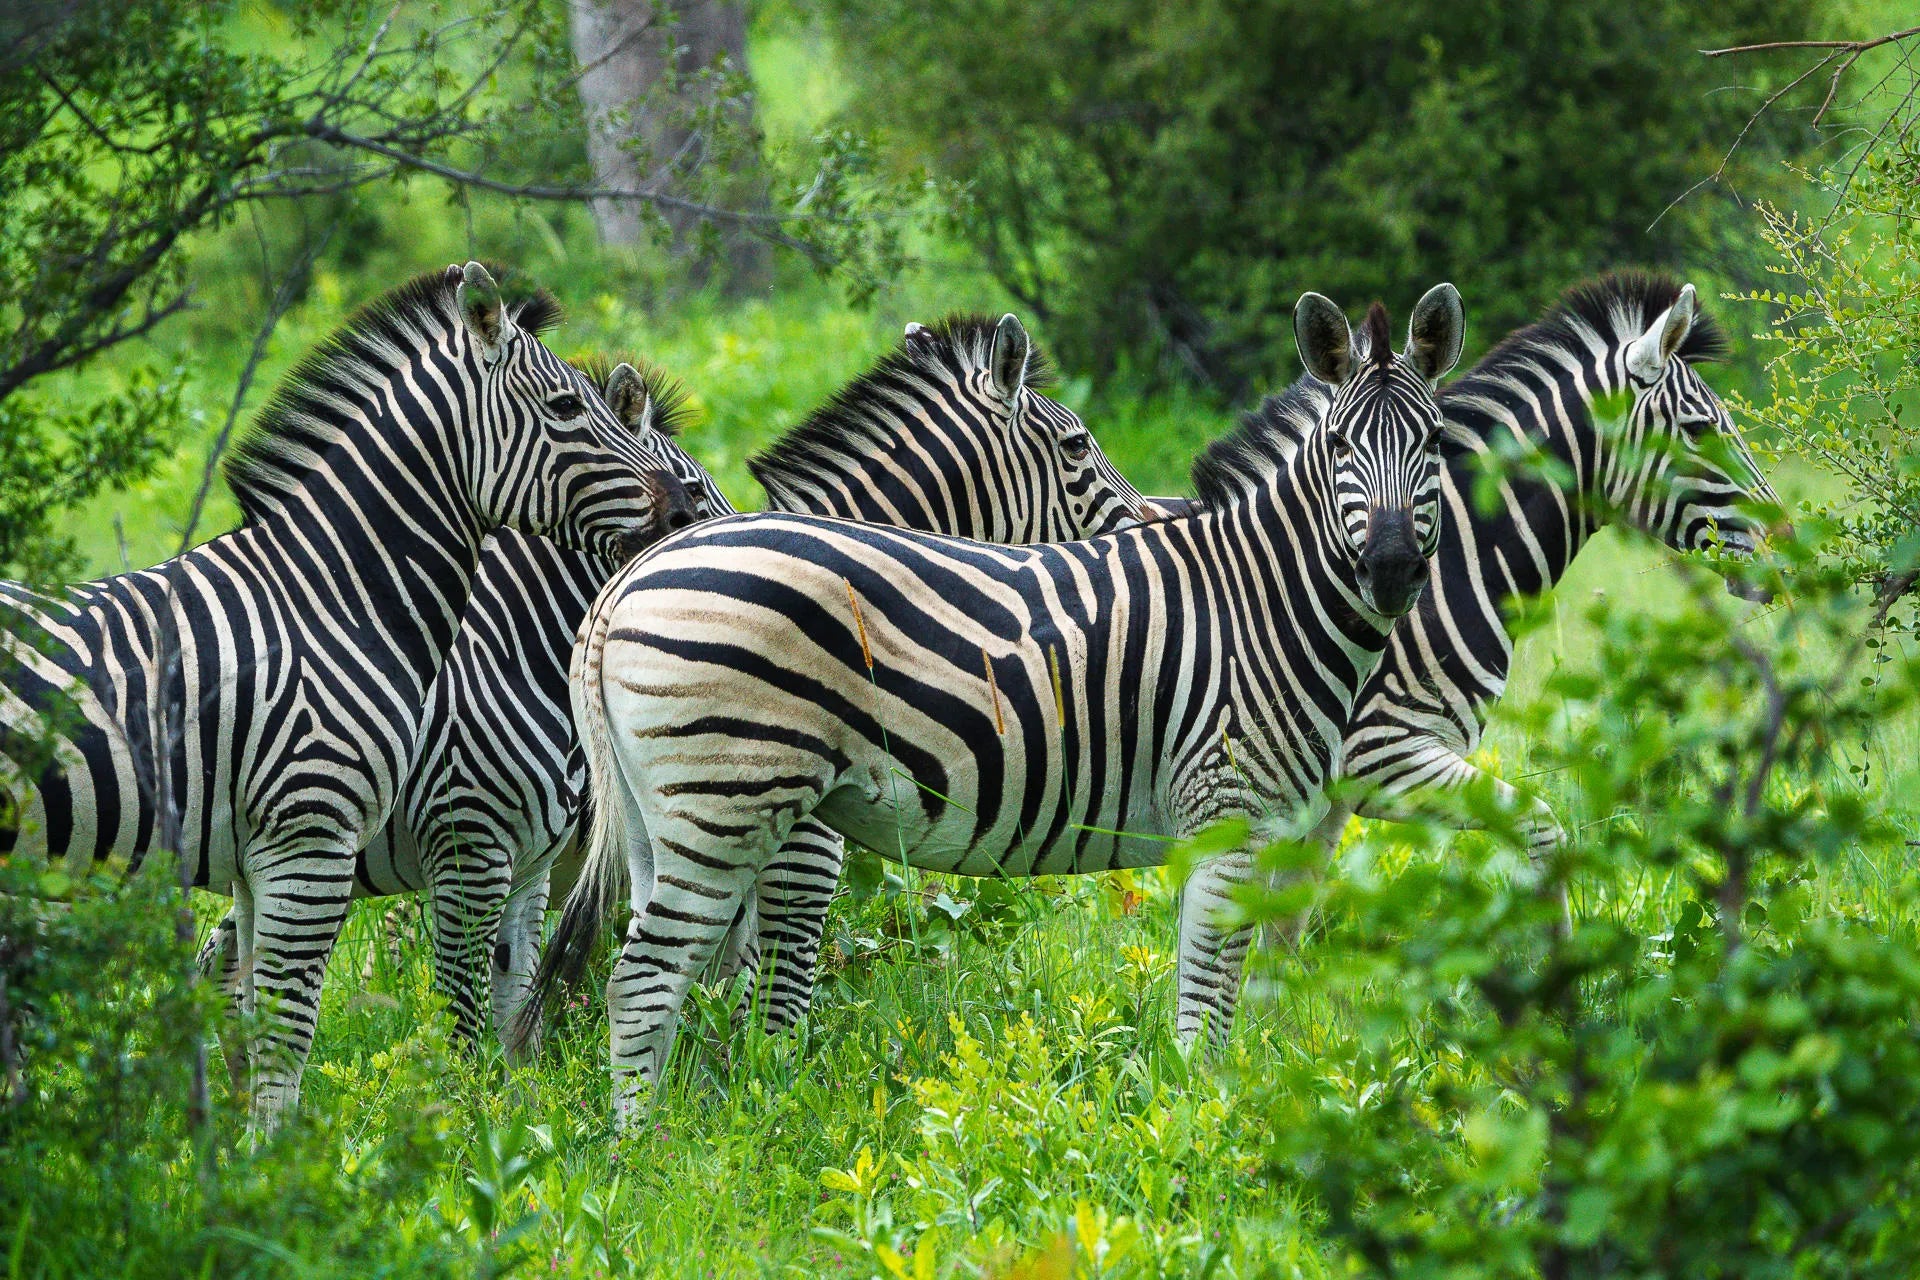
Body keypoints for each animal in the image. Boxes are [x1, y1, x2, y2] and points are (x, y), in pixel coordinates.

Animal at [0, 262, 699, 1128]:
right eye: (567, 407)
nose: (683, 516)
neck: (331, 598)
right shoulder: (350, 841)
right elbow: (312, 1030)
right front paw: (309, 1154)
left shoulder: (294, 858)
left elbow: (487, 1013)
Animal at [536, 284, 1466, 1122]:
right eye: (1340, 445)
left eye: (1435, 444)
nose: (1391, 570)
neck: (1260, 597)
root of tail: (627, 582)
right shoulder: (1225, 814)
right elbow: (1206, 1002)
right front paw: (1201, 1122)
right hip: (726, 802)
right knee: (642, 982)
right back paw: (648, 1156)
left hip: (661, 820)